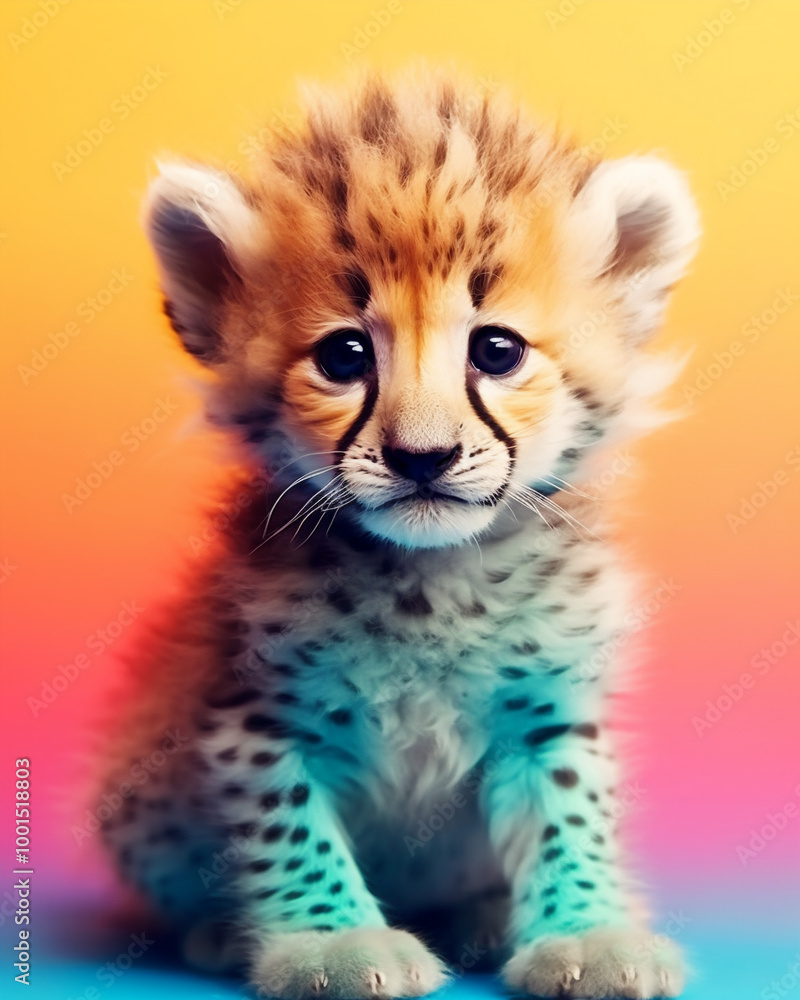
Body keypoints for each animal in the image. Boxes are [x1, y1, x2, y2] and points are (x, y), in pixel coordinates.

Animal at [95, 67, 699, 999]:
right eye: (345, 358)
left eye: (497, 350)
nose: (424, 456)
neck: (433, 583)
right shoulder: (252, 715)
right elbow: (291, 831)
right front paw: (331, 943)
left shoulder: (550, 705)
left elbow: (569, 814)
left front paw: (584, 931)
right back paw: (222, 935)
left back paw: (482, 918)